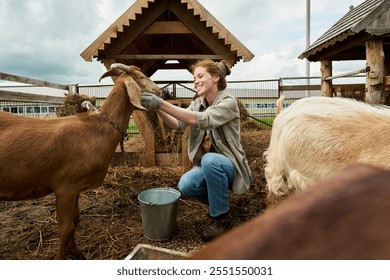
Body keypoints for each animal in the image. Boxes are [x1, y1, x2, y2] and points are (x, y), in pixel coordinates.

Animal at [0, 64, 160, 260]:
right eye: (141, 77)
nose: (159, 90)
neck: (98, 129)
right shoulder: (65, 187)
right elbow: (65, 227)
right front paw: (62, 257)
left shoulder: (76, 187)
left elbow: (75, 220)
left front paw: (76, 252)